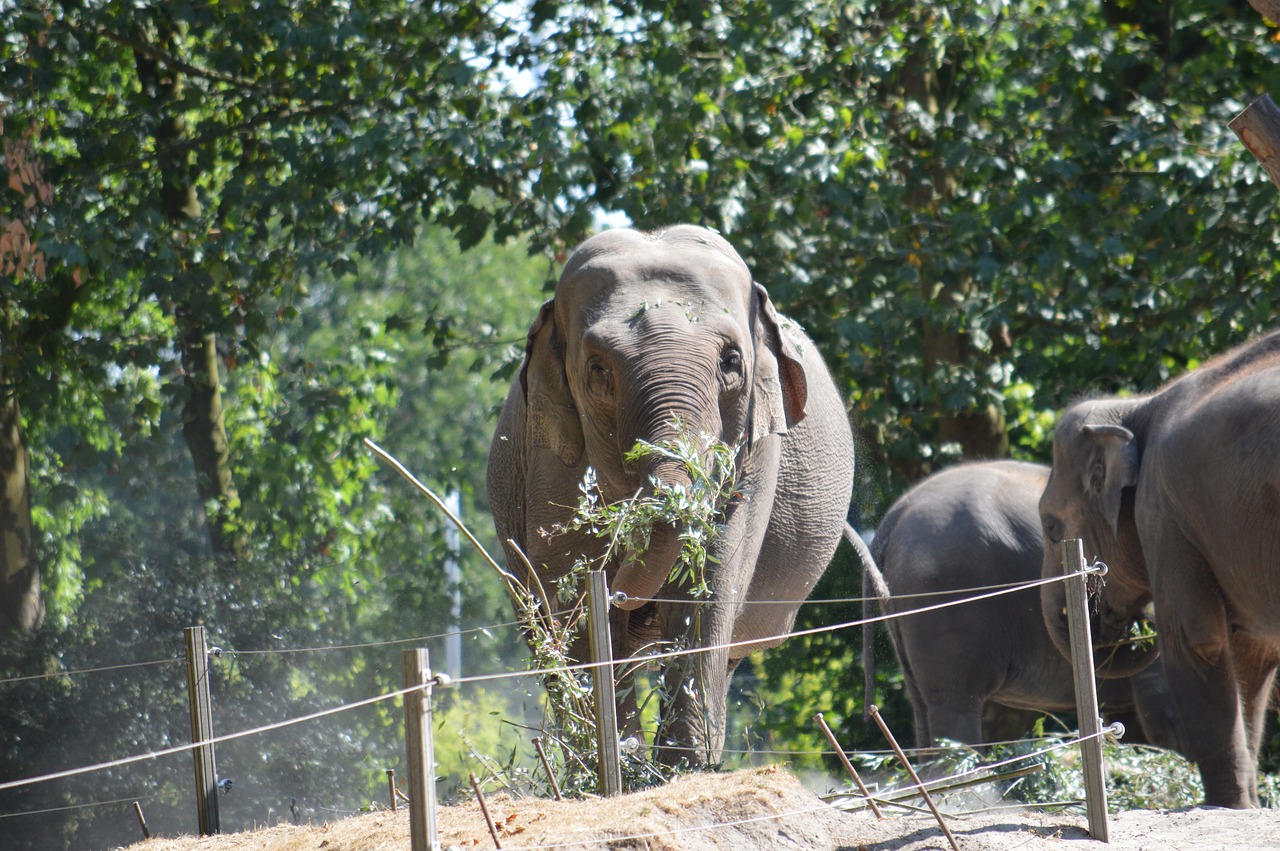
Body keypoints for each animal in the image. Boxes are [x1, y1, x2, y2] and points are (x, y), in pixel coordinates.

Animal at [483, 223, 865, 762]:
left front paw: (681, 767)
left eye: (731, 361)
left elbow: (706, 587)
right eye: (597, 369)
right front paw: (620, 763)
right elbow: (574, 600)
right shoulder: (549, 463)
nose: (627, 592)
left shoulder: (753, 458)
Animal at [1039, 327, 1280, 808]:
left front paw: (1228, 805)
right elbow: (1254, 658)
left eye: (1052, 527)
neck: (1137, 407)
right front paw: (1247, 804)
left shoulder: (1163, 512)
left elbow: (1196, 640)